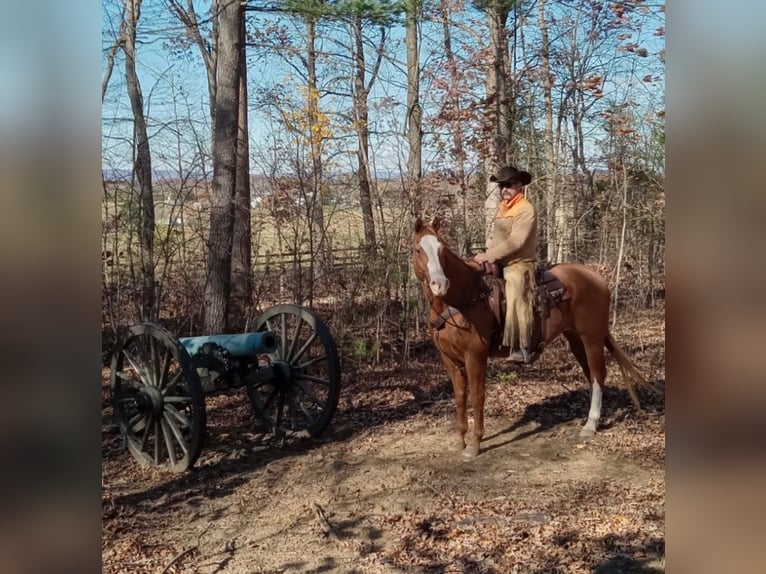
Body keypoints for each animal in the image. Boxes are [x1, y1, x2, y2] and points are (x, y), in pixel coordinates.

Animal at [411, 216, 658, 459]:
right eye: (418, 250)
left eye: (442, 250)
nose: (440, 284)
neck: (463, 298)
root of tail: (596, 277)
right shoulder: (449, 360)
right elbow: (460, 396)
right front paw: (459, 441)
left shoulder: (475, 357)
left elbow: (477, 397)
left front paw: (474, 445)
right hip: (575, 339)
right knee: (591, 374)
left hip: (592, 337)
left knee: (598, 374)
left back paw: (591, 424)